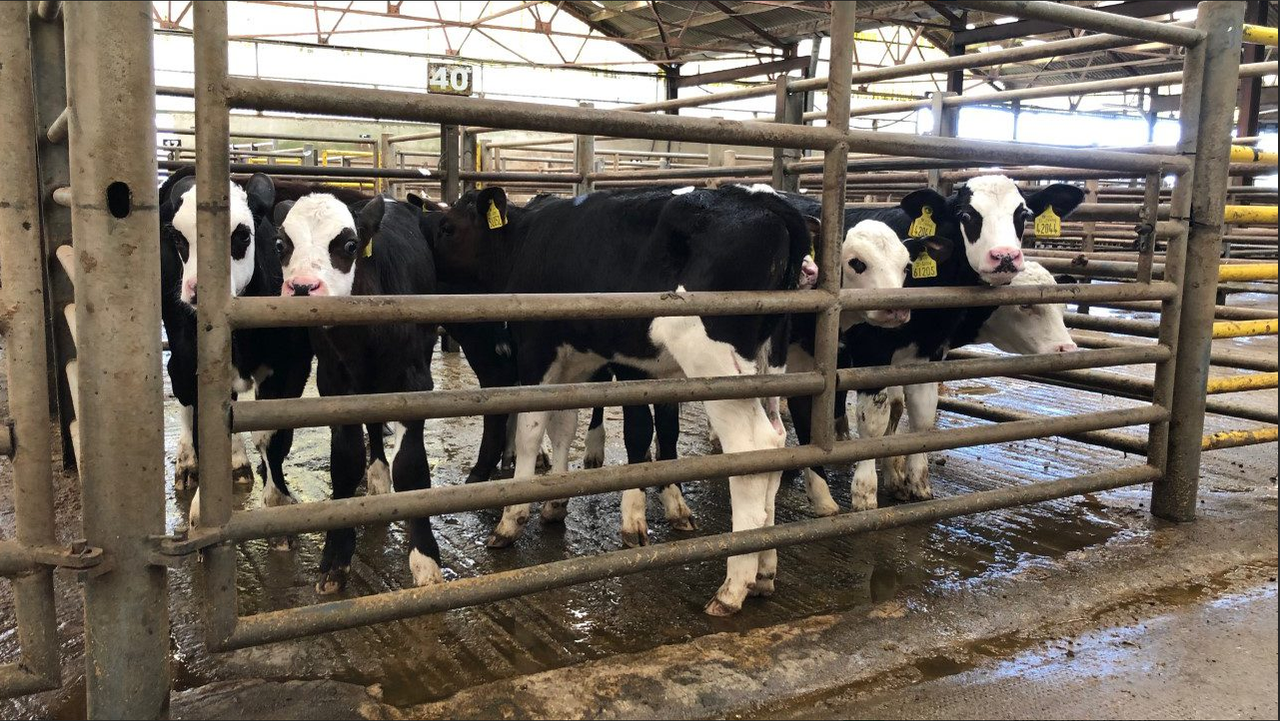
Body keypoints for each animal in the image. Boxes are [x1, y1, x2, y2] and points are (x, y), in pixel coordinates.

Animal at [159, 168, 313, 541]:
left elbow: (274, 437)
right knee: (179, 387)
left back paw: (240, 462)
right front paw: (201, 511)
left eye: (241, 235)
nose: (197, 290)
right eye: (180, 240)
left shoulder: (291, 368)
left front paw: (278, 503)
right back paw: (187, 462)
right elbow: (204, 428)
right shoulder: (193, 361)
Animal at [274, 192, 443, 594]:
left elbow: (411, 465)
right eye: (281, 245)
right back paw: (377, 477)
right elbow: (345, 463)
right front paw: (336, 556)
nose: (302, 288)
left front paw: (425, 558)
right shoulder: (334, 382)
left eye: (349, 245)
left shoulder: (416, 379)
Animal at [428, 184, 813, 615]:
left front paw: (512, 517)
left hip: (714, 363)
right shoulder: (575, 359)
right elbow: (564, 427)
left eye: (446, 227)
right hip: (769, 361)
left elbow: (531, 431)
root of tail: (762, 200)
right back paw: (763, 571)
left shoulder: (536, 349)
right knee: (777, 441)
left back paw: (733, 587)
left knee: (752, 449)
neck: (526, 239)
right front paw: (555, 502)